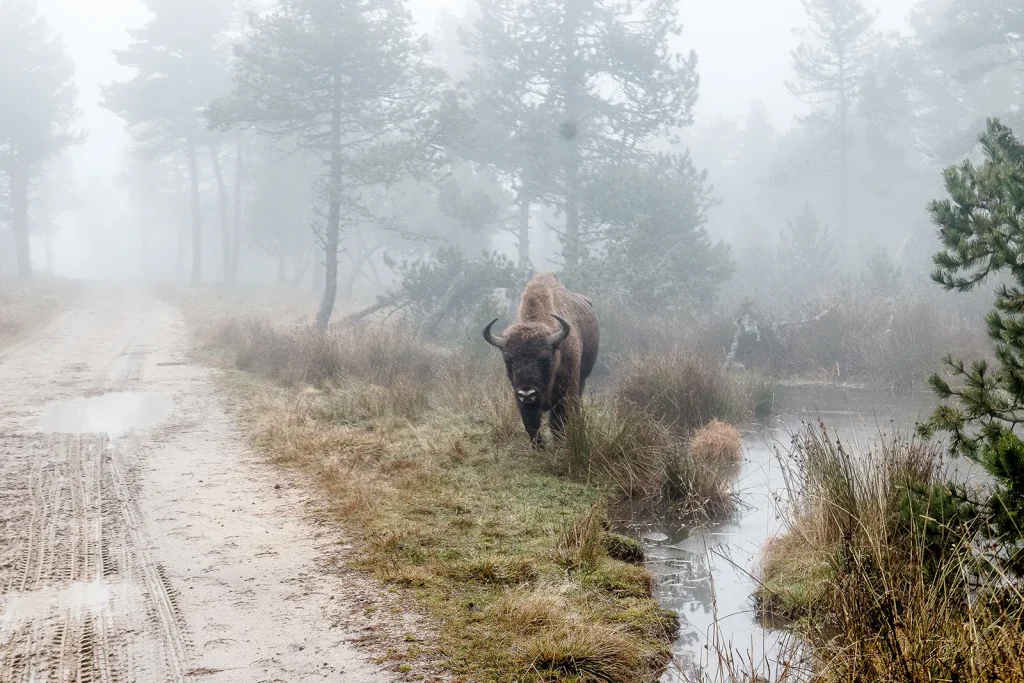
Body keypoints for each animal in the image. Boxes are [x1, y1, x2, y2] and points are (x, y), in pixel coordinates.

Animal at [483, 272, 599, 446]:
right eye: (508, 360)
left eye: (545, 359)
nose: (527, 393)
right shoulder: (520, 398)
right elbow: (531, 424)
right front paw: (540, 446)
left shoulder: (565, 392)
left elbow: (557, 422)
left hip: (582, 380)